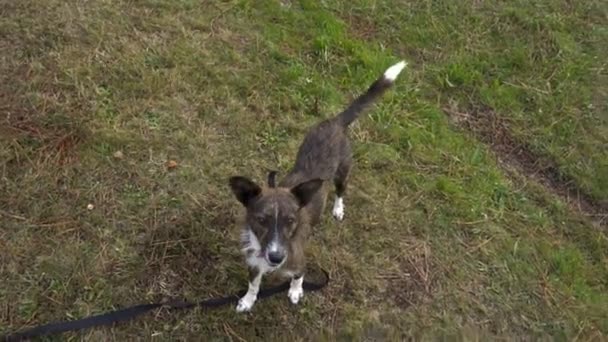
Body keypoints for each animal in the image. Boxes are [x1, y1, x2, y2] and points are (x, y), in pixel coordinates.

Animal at [230, 60, 406, 312]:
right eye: (261, 219)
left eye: (291, 220)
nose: (276, 258)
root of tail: (337, 121)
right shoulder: (254, 263)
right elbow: (253, 284)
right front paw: (247, 301)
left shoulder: (299, 261)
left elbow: (298, 276)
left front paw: (295, 291)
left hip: (343, 172)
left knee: (341, 192)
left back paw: (338, 209)